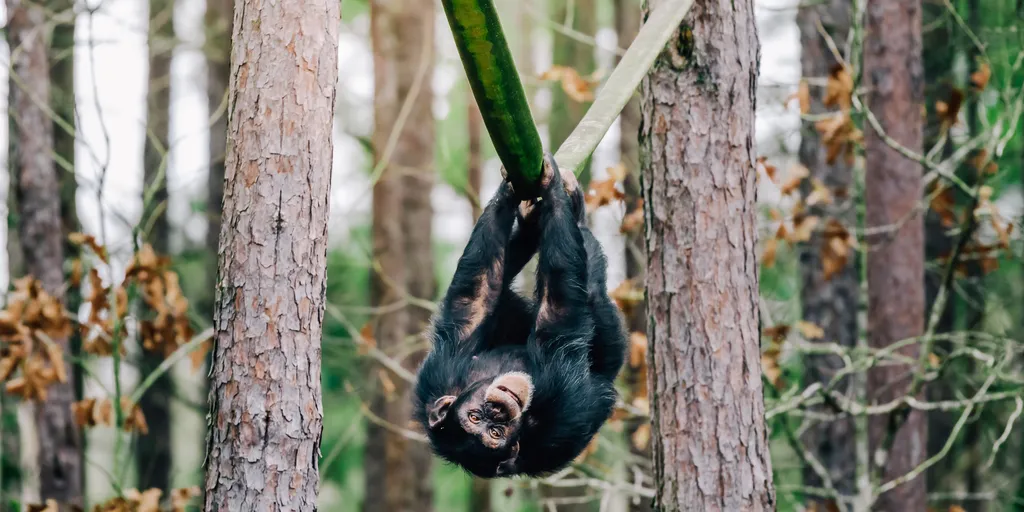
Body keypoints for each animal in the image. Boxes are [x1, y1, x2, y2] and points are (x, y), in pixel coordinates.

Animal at [413, 153, 622, 477]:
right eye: (492, 432)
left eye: (477, 417)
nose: (496, 411)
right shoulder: (557, 396)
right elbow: (558, 316)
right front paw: (552, 187)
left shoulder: (440, 372)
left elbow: (476, 295)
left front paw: (510, 192)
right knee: (591, 289)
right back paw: (576, 215)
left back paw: (529, 221)